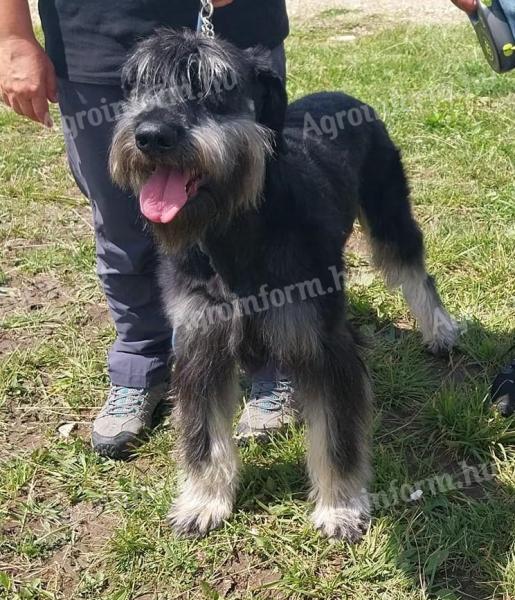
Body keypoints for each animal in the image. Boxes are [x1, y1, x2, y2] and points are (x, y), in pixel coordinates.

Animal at [111, 28, 462, 540]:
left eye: (215, 86)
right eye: (137, 85)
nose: (152, 135)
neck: (233, 231)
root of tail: (342, 95)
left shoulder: (324, 345)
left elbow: (336, 437)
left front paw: (340, 507)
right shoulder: (200, 343)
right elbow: (203, 435)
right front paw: (203, 501)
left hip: (389, 212)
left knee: (414, 270)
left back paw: (440, 331)